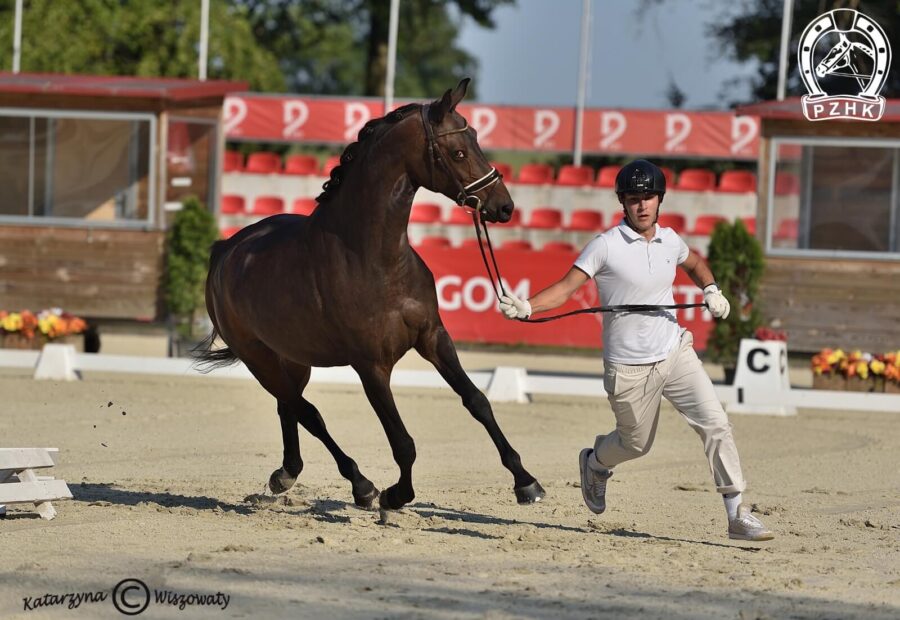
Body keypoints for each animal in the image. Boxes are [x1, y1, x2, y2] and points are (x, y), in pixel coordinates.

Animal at [198, 78, 544, 512]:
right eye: (458, 152)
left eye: (477, 139)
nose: (504, 206)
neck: (375, 258)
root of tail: (226, 249)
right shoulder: (372, 367)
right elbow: (403, 442)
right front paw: (396, 494)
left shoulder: (434, 338)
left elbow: (477, 401)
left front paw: (526, 481)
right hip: (258, 358)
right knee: (307, 412)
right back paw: (360, 485)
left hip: (292, 359)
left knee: (289, 407)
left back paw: (287, 474)